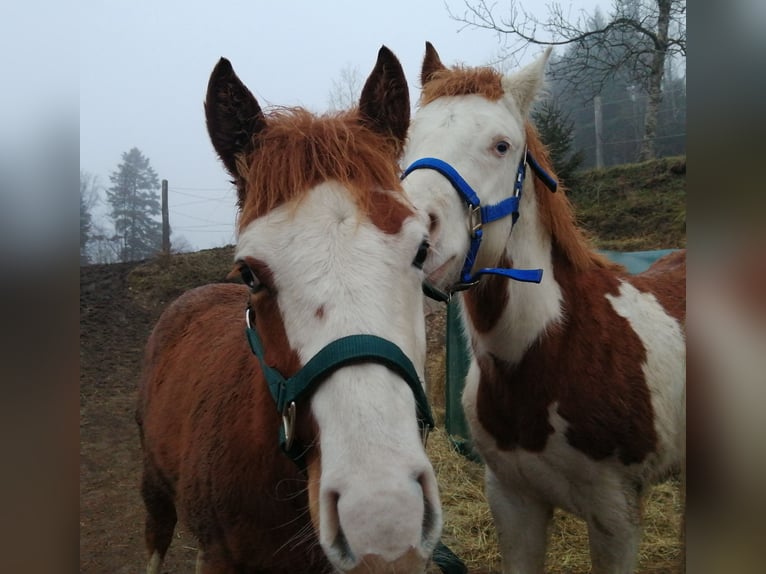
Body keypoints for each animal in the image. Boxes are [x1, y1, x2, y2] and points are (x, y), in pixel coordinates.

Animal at [402, 44, 688, 574]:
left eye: (501, 146)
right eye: (408, 141)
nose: (412, 237)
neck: (556, 348)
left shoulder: (616, 516)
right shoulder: (512, 500)